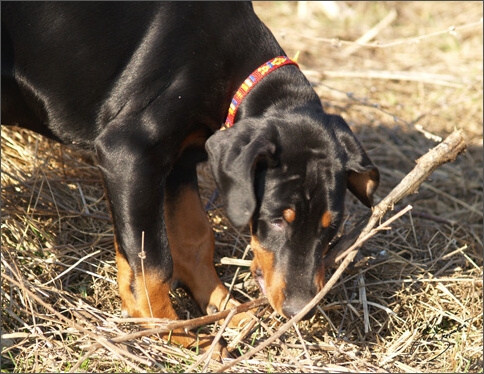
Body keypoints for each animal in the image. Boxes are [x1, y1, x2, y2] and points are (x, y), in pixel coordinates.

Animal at [2, 1, 378, 350]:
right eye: (276, 220)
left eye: (332, 227)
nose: (300, 310)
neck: (235, 72)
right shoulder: (128, 153)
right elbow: (151, 261)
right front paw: (173, 332)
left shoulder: (179, 161)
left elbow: (195, 237)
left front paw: (225, 308)